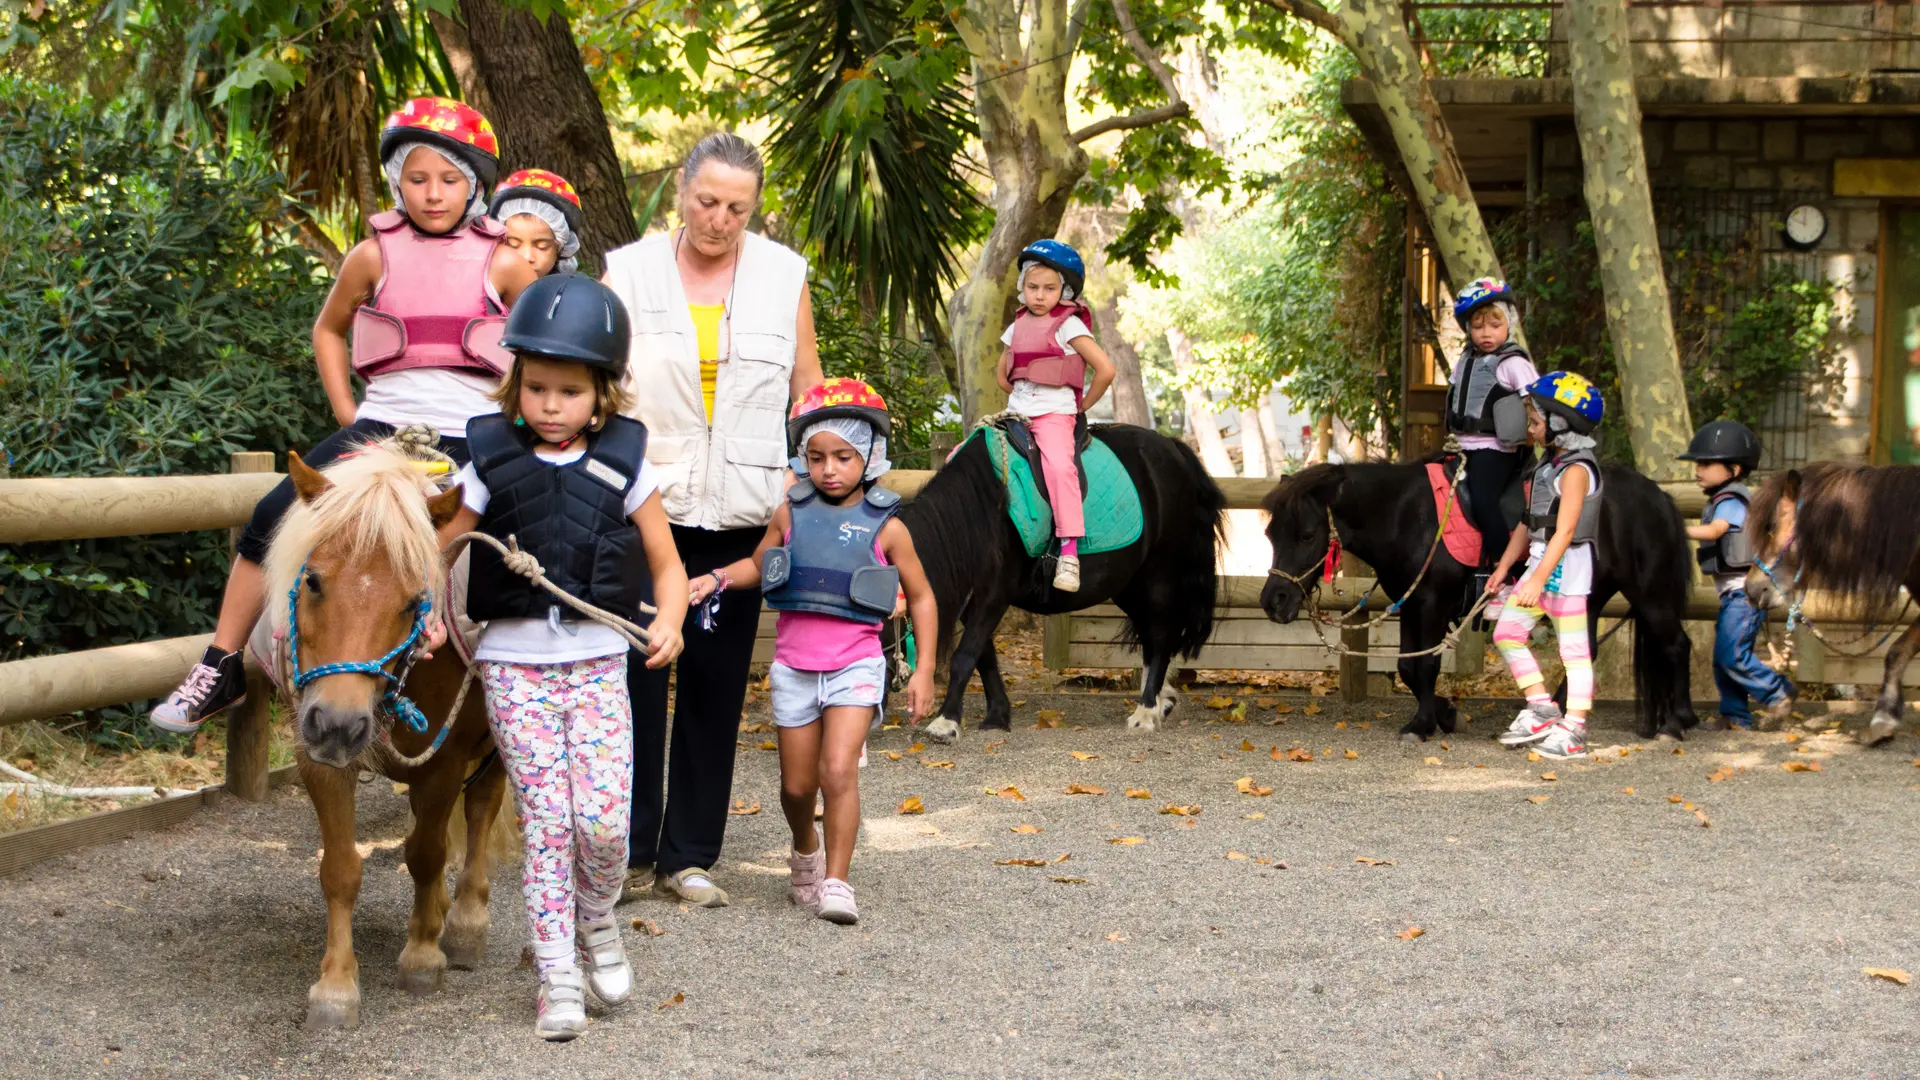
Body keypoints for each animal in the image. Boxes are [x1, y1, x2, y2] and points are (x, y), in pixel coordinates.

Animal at [270, 440, 514, 1022]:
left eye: (411, 602)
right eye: (313, 581)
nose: (339, 723)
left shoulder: (445, 761)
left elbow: (424, 853)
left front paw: (423, 955)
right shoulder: (317, 758)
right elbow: (340, 870)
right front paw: (336, 986)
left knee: (480, 810)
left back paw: (464, 923)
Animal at [902, 420, 1228, 737]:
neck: (984, 506)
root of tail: (1172, 448)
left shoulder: (995, 593)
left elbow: (966, 654)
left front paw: (946, 722)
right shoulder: (973, 601)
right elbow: (984, 655)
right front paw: (997, 716)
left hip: (1158, 573)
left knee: (1160, 636)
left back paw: (1146, 712)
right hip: (1129, 584)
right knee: (1150, 635)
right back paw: (1161, 701)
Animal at [1259, 453, 1697, 737]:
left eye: (1307, 535)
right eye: (1270, 534)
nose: (1273, 601)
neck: (1404, 515)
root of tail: (1659, 497)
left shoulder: (1433, 604)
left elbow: (1425, 666)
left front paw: (1425, 724)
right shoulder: (1412, 605)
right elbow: (1407, 667)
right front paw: (1445, 714)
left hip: (1650, 594)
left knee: (1677, 643)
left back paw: (1678, 720)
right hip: (1586, 598)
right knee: (1584, 651)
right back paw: (1556, 712)